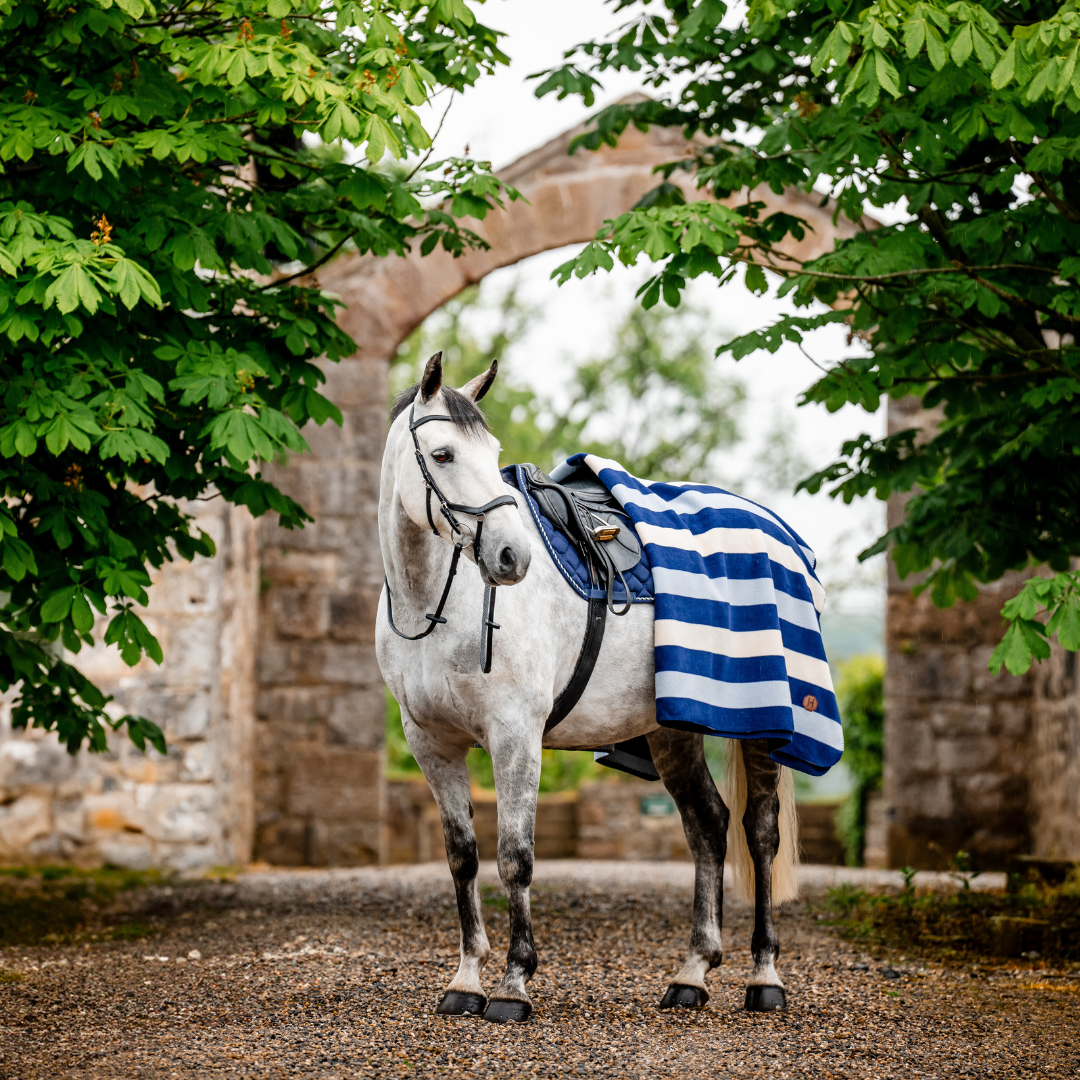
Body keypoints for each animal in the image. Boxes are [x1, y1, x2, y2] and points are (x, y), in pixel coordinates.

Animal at [376, 352, 799, 1023]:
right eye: (442, 454)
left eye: (492, 450)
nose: (511, 556)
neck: (436, 606)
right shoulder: (431, 744)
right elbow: (463, 856)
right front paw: (466, 980)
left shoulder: (515, 736)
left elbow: (515, 857)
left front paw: (513, 984)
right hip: (673, 730)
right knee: (708, 825)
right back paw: (692, 974)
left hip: (761, 724)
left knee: (759, 834)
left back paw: (765, 976)